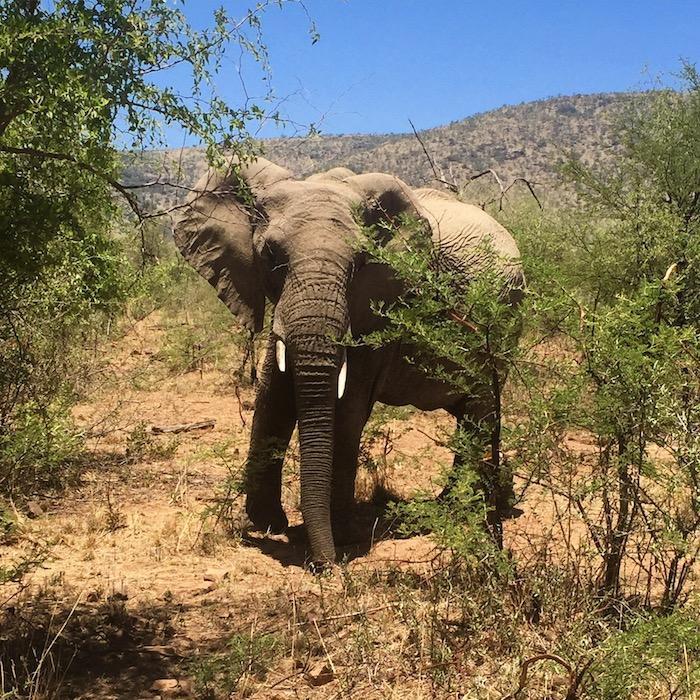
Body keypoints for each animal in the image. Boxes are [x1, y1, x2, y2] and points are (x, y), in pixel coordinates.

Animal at [175, 156, 524, 568]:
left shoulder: (381, 306)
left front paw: (342, 536)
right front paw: (266, 524)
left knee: (479, 410)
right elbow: (272, 396)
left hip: (501, 322)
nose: (324, 565)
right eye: (271, 256)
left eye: (360, 261)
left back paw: (458, 507)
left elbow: (347, 407)